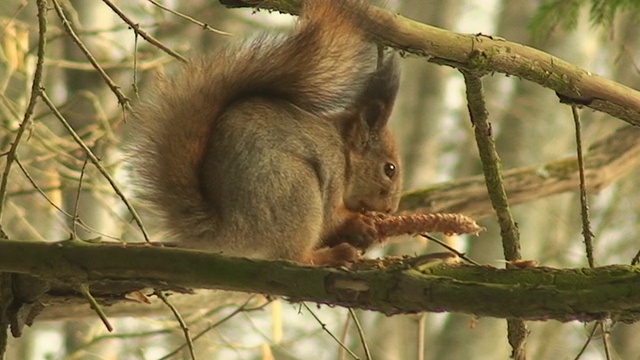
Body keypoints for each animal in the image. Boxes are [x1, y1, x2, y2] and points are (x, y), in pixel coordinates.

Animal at [129, 0, 400, 264]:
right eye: (389, 169)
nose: (389, 210)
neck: (344, 152)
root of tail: (229, 232)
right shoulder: (332, 170)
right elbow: (333, 218)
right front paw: (359, 223)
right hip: (296, 189)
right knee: (296, 256)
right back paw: (331, 255)